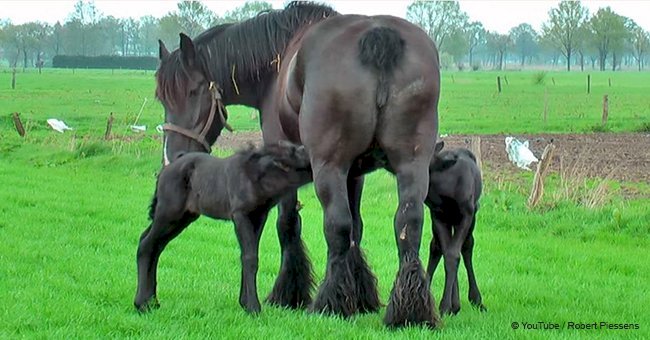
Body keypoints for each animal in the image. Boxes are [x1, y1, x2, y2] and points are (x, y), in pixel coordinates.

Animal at [134, 141, 312, 314]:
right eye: (299, 153)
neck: (254, 176)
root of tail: (165, 170)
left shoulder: (258, 217)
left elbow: (248, 254)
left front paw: (244, 302)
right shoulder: (240, 215)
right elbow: (250, 258)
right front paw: (253, 307)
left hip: (183, 218)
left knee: (155, 245)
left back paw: (152, 301)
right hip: (169, 212)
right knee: (147, 244)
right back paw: (142, 304)